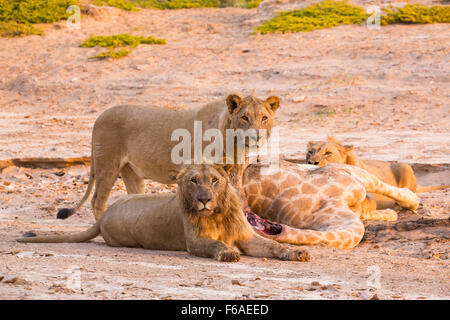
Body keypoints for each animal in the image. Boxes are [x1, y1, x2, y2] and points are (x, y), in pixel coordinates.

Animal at [14, 164, 310, 264]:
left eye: (214, 180)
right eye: (193, 181)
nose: (204, 200)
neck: (217, 213)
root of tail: (105, 216)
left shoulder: (248, 237)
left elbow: (273, 245)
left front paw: (296, 253)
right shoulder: (194, 242)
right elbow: (215, 244)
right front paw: (227, 252)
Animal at [57, 94, 280, 221]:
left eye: (264, 118)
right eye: (244, 118)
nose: (257, 136)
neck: (233, 142)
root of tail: (99, 116)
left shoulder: (233, 174)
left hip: (131, 173)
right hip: (107, 165)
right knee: (97, 200)